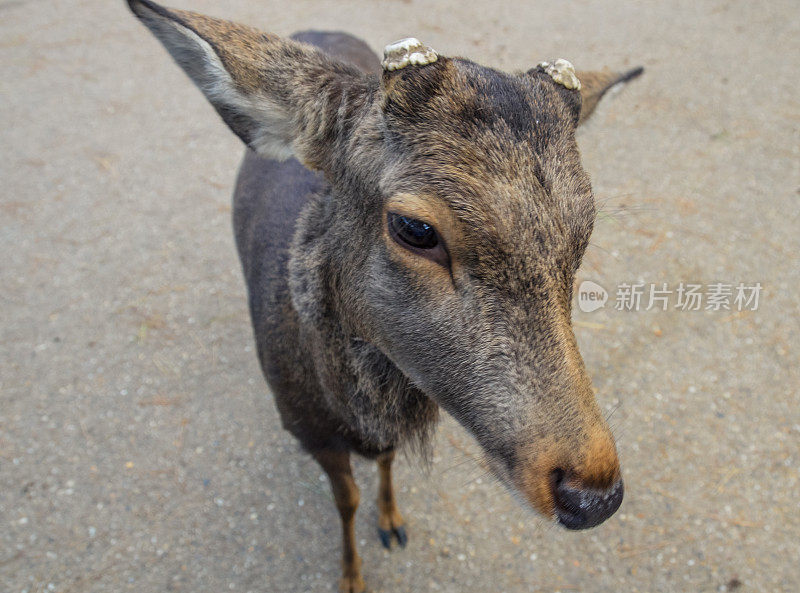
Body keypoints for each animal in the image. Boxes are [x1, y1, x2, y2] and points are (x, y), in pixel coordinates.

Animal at [128, 2, 644, 588]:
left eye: (585, 232)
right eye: (414, 228)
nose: (593, 494)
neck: (346, 410)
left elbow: (387, 464)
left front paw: (393, 522)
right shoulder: (312, 434)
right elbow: (346, 501)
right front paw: (351, 575)